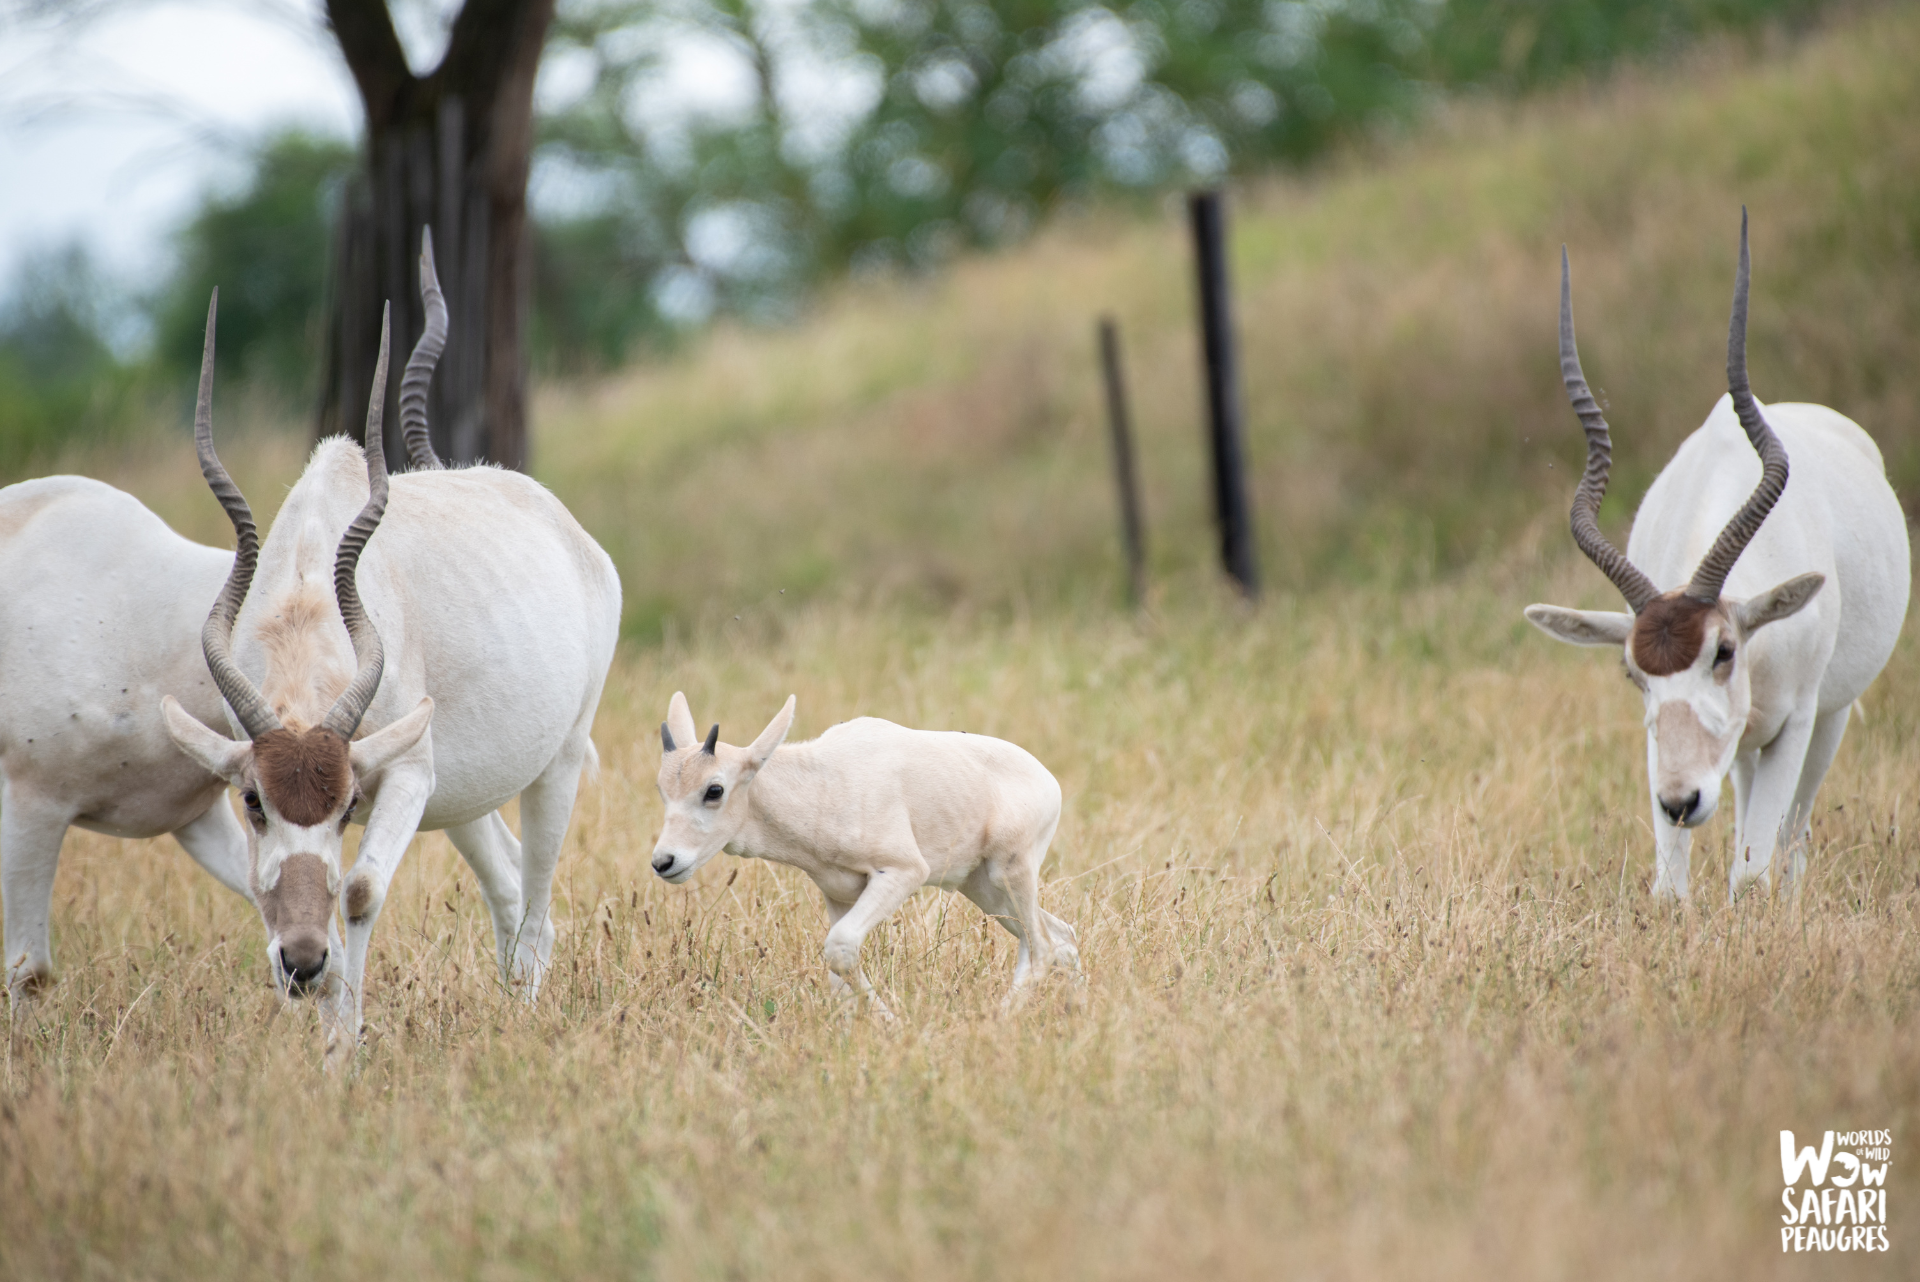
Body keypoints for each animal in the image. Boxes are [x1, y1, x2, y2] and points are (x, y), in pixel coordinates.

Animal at [165, 233, 618, 1059]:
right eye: (253, 802)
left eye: (346, 803)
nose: (302, 964)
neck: (312, 579)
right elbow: (279, 885)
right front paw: (332, 1043)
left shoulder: (402, 773)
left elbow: (358, 888)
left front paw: (346, 1046)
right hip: (461, 791)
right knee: (508, 880)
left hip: (556, 761)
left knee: (537, 897)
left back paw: (529, 1020)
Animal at [652, 694, 1082, 1013]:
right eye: (662, 789)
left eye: (714, 789)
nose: (663, 862)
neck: (822, 781)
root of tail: (1048, 781)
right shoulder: (838, 893)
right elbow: (837, 979)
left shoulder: (903, 872)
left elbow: (840, 949)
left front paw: (893, 1024)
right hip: (983, 890)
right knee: (1061, 936)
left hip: (1009, 874)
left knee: (1044, 946)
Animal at [1528, 214, 1904, 902]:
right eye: (1632, 672)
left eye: (1723, 651)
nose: (1681, 803)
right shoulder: (1664, 748)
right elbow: (1672, 889)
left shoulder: (1796, 723)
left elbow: (1753, 873)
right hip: (1741, 752)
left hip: (1826, 720)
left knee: (1792, 838)